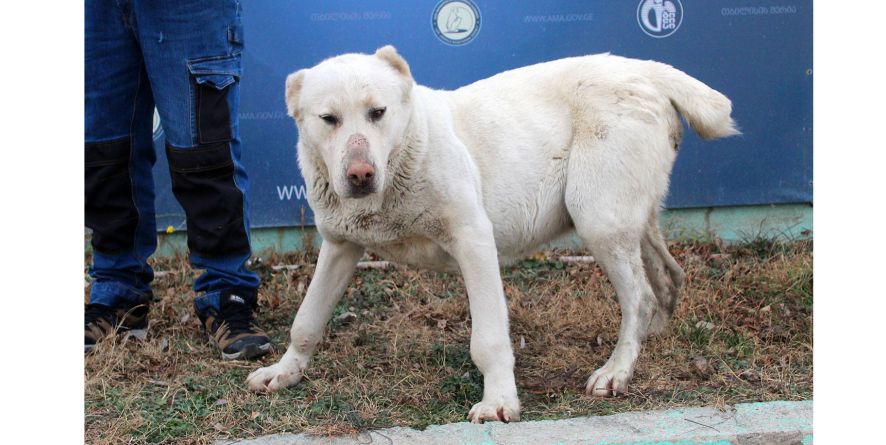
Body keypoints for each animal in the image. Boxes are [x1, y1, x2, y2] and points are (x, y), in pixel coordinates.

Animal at [246, 46, 740, 424]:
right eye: (328, 119)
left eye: (377, 113)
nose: (361, 175)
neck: (407, 149)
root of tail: (644, 69)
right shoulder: (340, 245)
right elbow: (307, 320)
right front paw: (285, 371)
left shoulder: (473, 241)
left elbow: (488, 339)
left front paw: (500, 401)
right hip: (630, 215)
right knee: (666, 277)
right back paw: (644, 340)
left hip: (598, 216)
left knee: (639, 295)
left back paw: (618, 369)